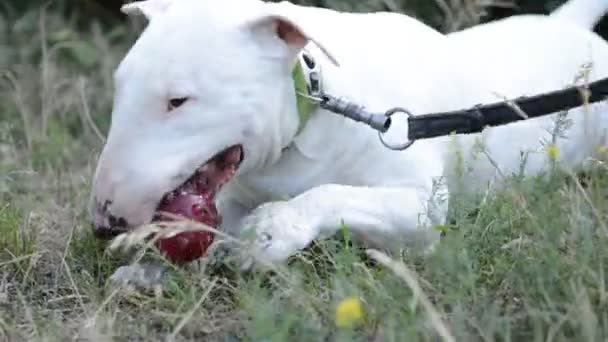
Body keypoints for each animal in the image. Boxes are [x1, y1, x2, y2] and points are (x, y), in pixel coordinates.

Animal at [88, 0, 608, 276]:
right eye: (120, 86)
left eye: (178, 100)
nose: (104, 222)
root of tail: (568, 23)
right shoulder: (236, 194)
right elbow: (212, 228)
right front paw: (148, 270)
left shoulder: (422, 207)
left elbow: (332, 194)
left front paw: (276, 228)